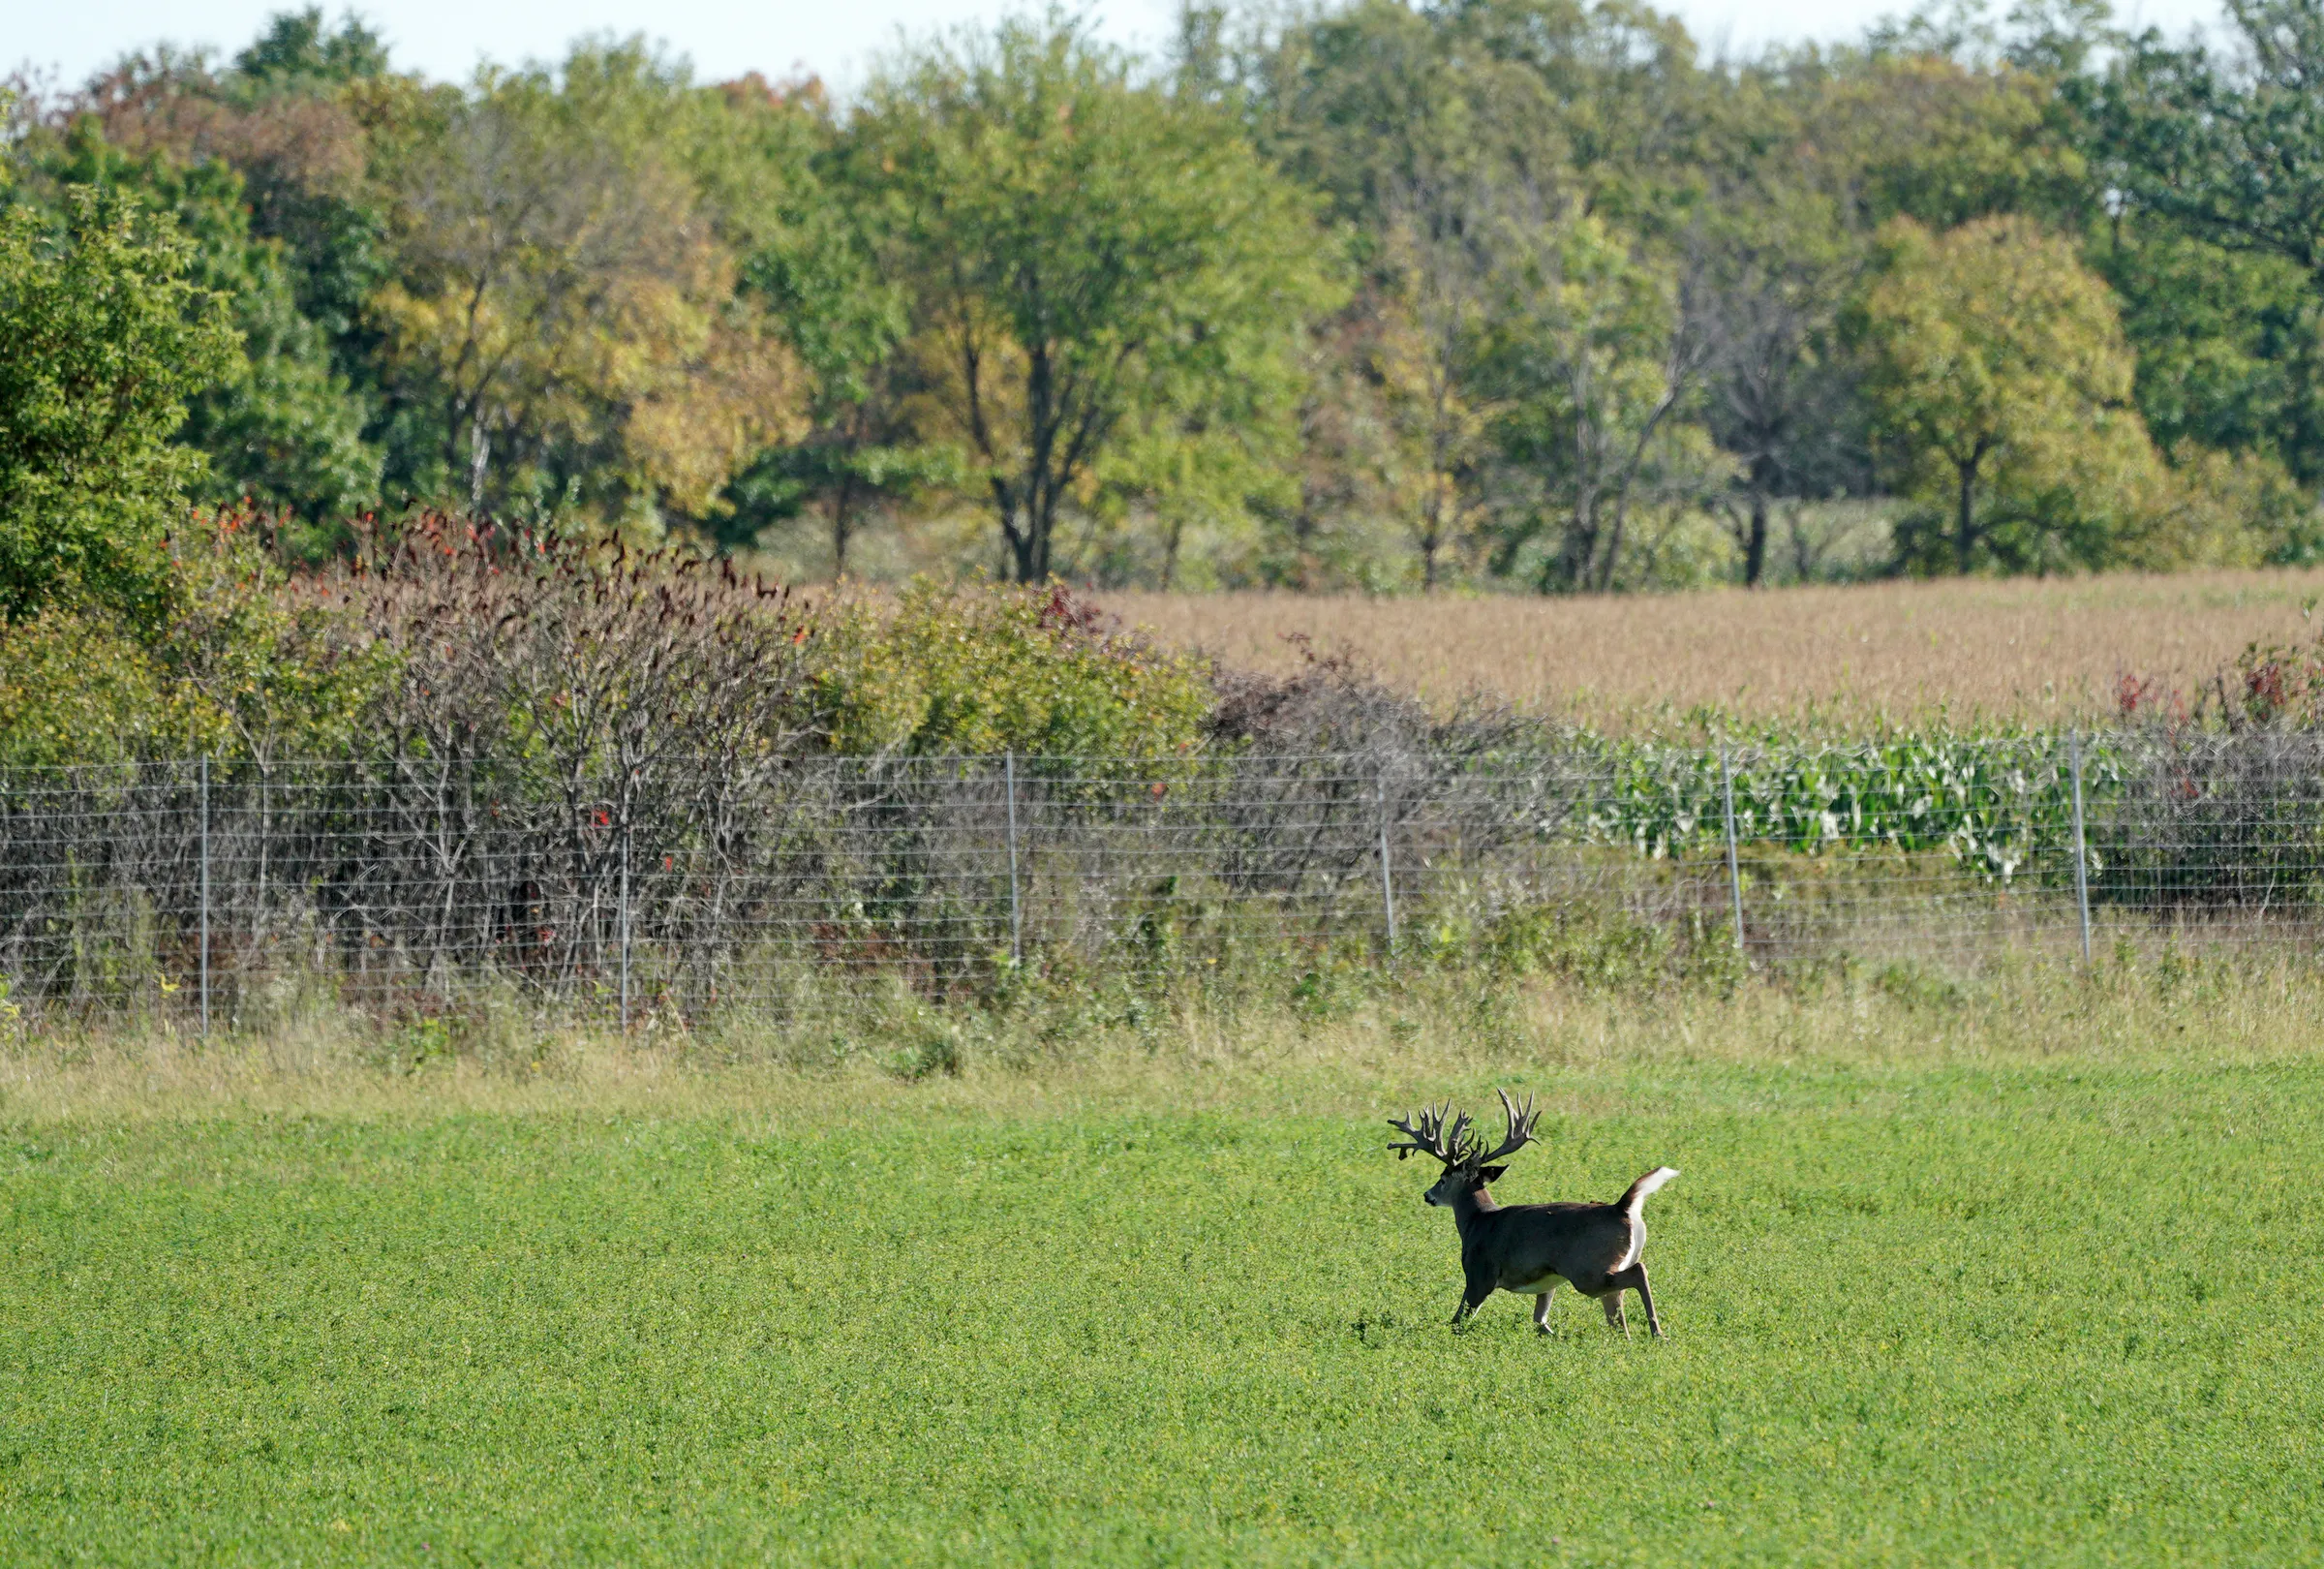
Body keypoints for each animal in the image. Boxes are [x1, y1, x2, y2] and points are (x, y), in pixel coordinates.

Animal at [1389, 1089, 1678, 1337]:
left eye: (1443, 1178)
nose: (1427, 1195)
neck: (1477, 1221)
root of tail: (1623, 1207)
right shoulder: (1547, 1284)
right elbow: (1541, 1321)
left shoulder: (1479, 1274)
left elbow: (1457, 1320)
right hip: (1608, 1267)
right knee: (1617, 1311)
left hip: (1587, 1269)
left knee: (1637, 1273)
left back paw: (1657, 1333)